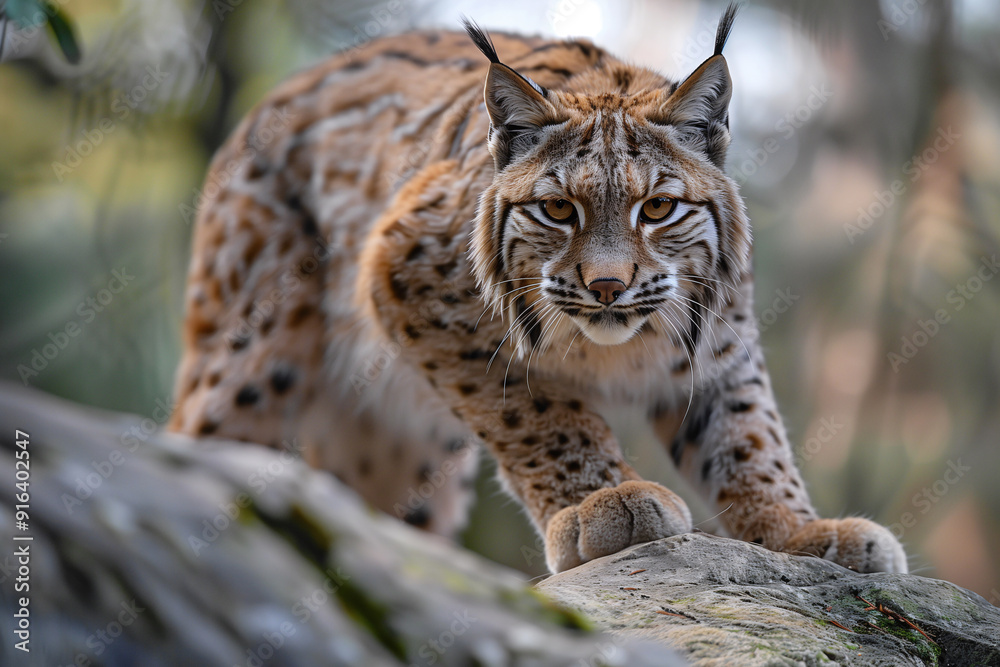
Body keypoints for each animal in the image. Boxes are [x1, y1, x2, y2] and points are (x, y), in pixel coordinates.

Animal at [170, 5, 908, 576]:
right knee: (201, 438)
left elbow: (749, 435)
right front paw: (602, 502)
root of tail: (275, 97)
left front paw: (796, 530)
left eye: (658, 209)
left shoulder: (717, 336)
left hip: (399, 445)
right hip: (255, 358)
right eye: (557, 210)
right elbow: (540, 409)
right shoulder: (403, 271)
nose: (608, 285)